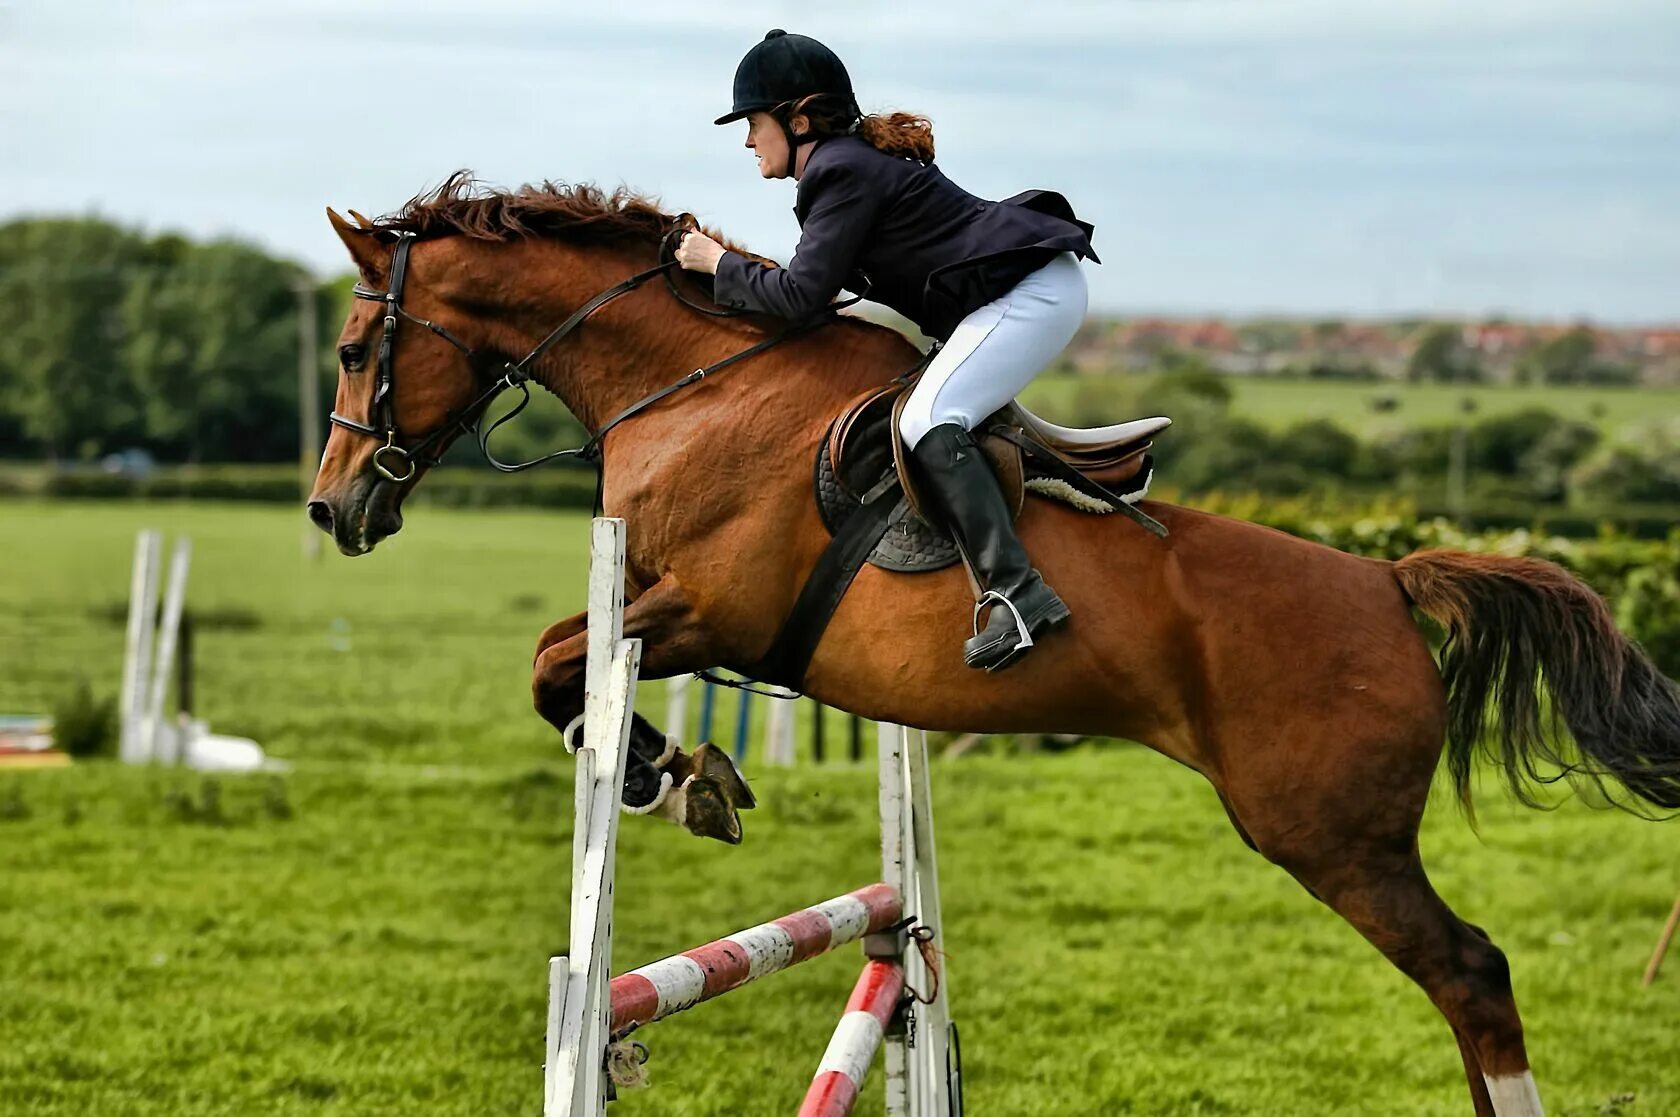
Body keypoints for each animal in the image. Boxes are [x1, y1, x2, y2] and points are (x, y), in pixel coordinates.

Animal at [309, 176, 1680, 1115]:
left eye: (352, 349)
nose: (333, 509)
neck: (699, 381)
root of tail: (1390, 582)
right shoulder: (663, 603)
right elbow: (561, 662)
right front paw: (684, 772)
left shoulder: (703, 607)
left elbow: (556, 666)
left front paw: (665, 775)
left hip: (1331, 834)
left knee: (1473, 972)